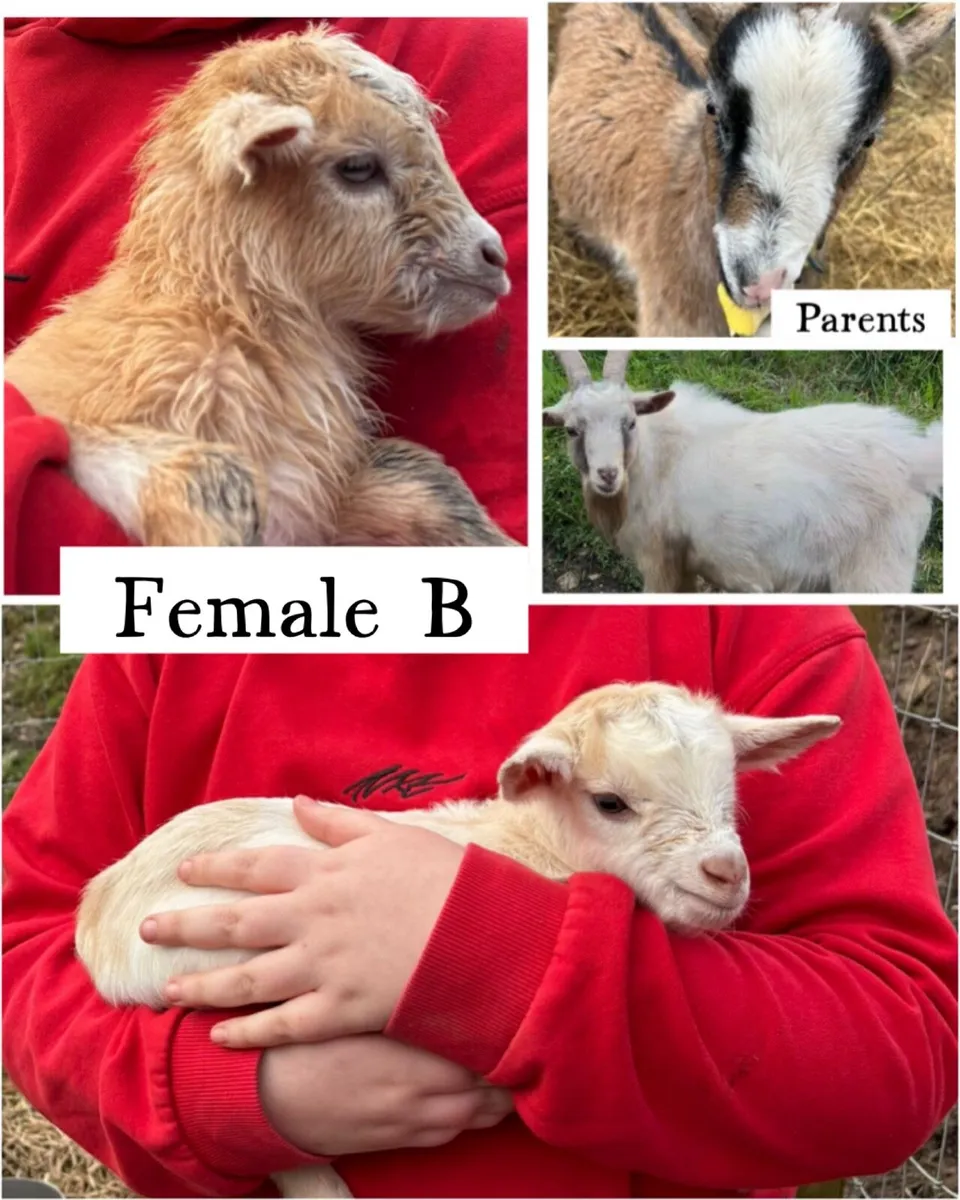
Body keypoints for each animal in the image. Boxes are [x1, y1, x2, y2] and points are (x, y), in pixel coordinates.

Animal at [544, 351, 942, 594]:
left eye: (629, 422)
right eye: (572, 429)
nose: (607, 475)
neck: (653, 458)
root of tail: (919, 457)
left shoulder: (660, 560)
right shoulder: (684, 565)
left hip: (877, 570)